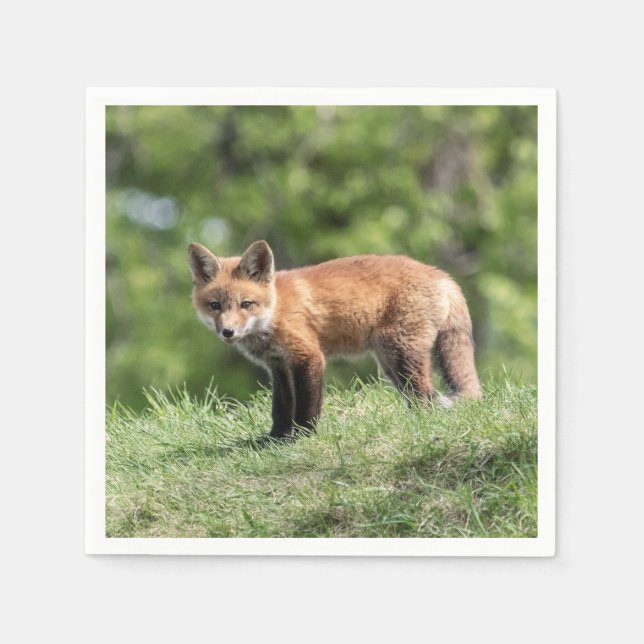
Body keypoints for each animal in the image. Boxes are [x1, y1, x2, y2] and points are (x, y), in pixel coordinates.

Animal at [188, 240, 482, 439]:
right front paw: (275, 438)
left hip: (400, 355)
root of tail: (442, 275)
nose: (228, 332)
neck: (274, 311)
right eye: (215, 305)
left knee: (426, 396)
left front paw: (303, 437)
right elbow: (280, 407)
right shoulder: (278, 366)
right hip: (390, 362)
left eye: (246, 304)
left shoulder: (308, 357)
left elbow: (307, 405)